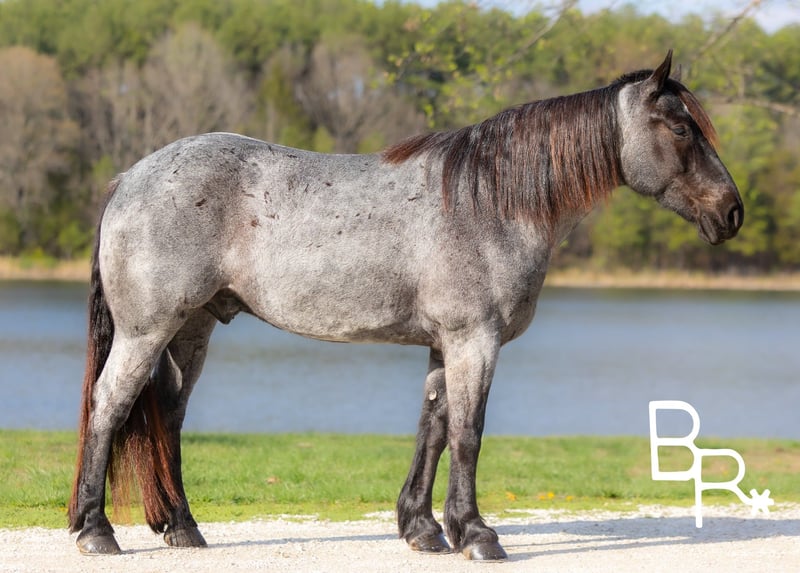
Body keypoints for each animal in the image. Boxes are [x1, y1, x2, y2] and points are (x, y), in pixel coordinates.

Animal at [68, 51, 742, 560]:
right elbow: (468, 433)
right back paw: (95, 530)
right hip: (147, 331)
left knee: (167, 415)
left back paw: (182, 527)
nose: (732, 212)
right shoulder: (474, 340)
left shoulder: (446, 345)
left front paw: (423, 528)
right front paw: (478, 535)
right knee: (109, 405)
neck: (490, 201)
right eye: (681, 129)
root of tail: (129, 178)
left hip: (191, 331)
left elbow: (434, 429)